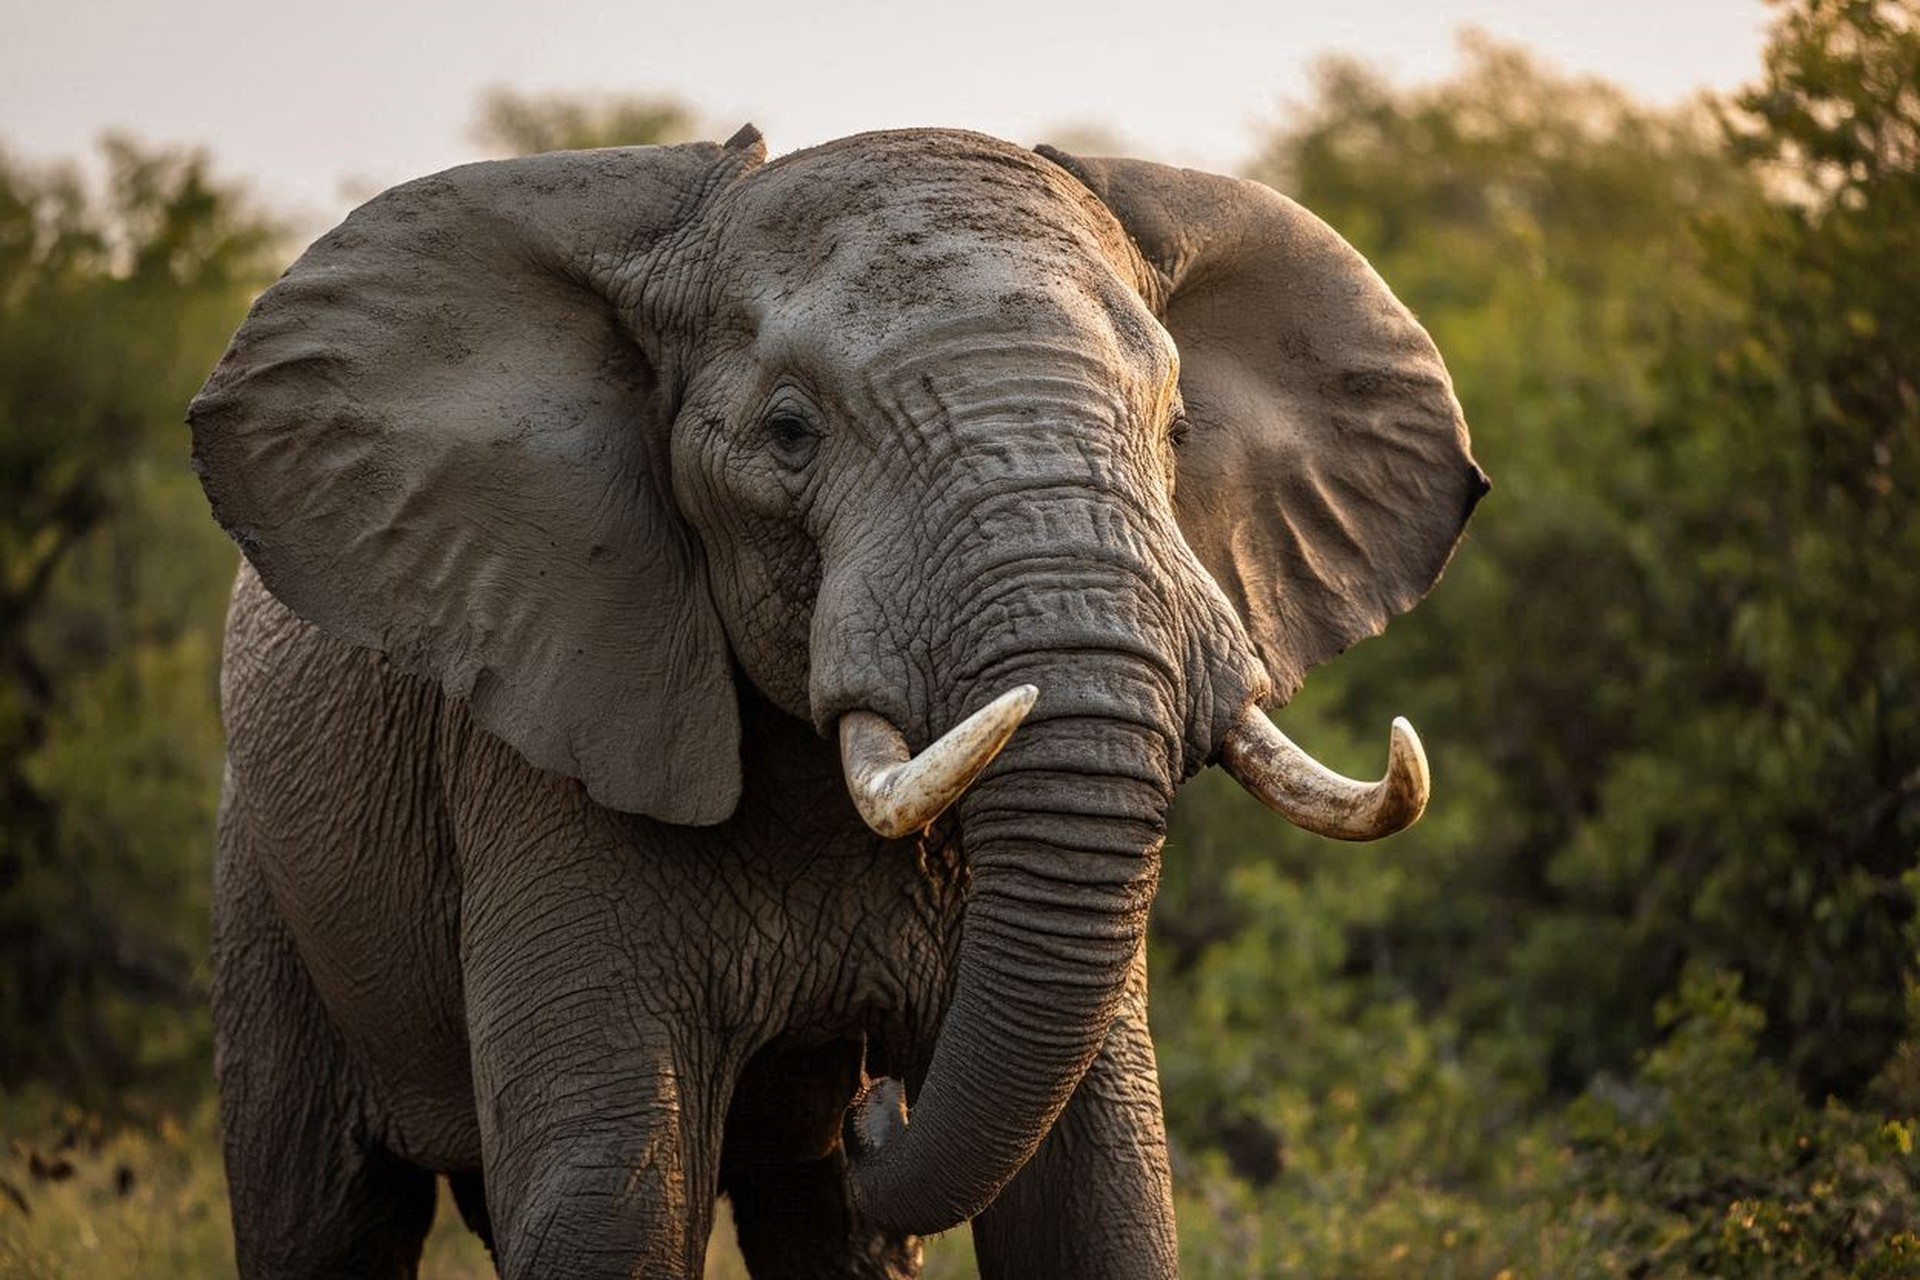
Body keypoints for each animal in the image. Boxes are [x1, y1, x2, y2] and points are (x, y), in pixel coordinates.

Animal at [187, 123, 1486, 1279]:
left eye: (1174, 429)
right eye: (789, 431)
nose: (874, 1102)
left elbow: (1095, 1195)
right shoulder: (545, 735)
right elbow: (611, 1201)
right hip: (267, 882)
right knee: (320, 1215)